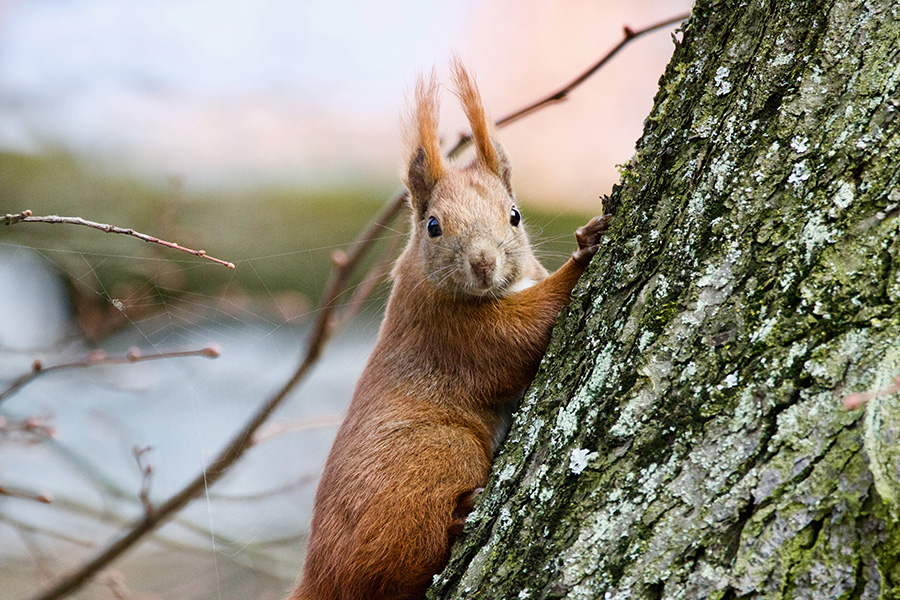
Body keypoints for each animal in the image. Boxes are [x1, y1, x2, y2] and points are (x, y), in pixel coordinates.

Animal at [290, 59, 612, 600]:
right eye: (434, 226)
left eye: (514, 215)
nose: (483, 263)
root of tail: (318, 580)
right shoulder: (451, 331)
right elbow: (522, 333)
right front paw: (584, 254)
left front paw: (586, 234)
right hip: (438, 453)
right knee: (394, 569)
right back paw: (459, 519)